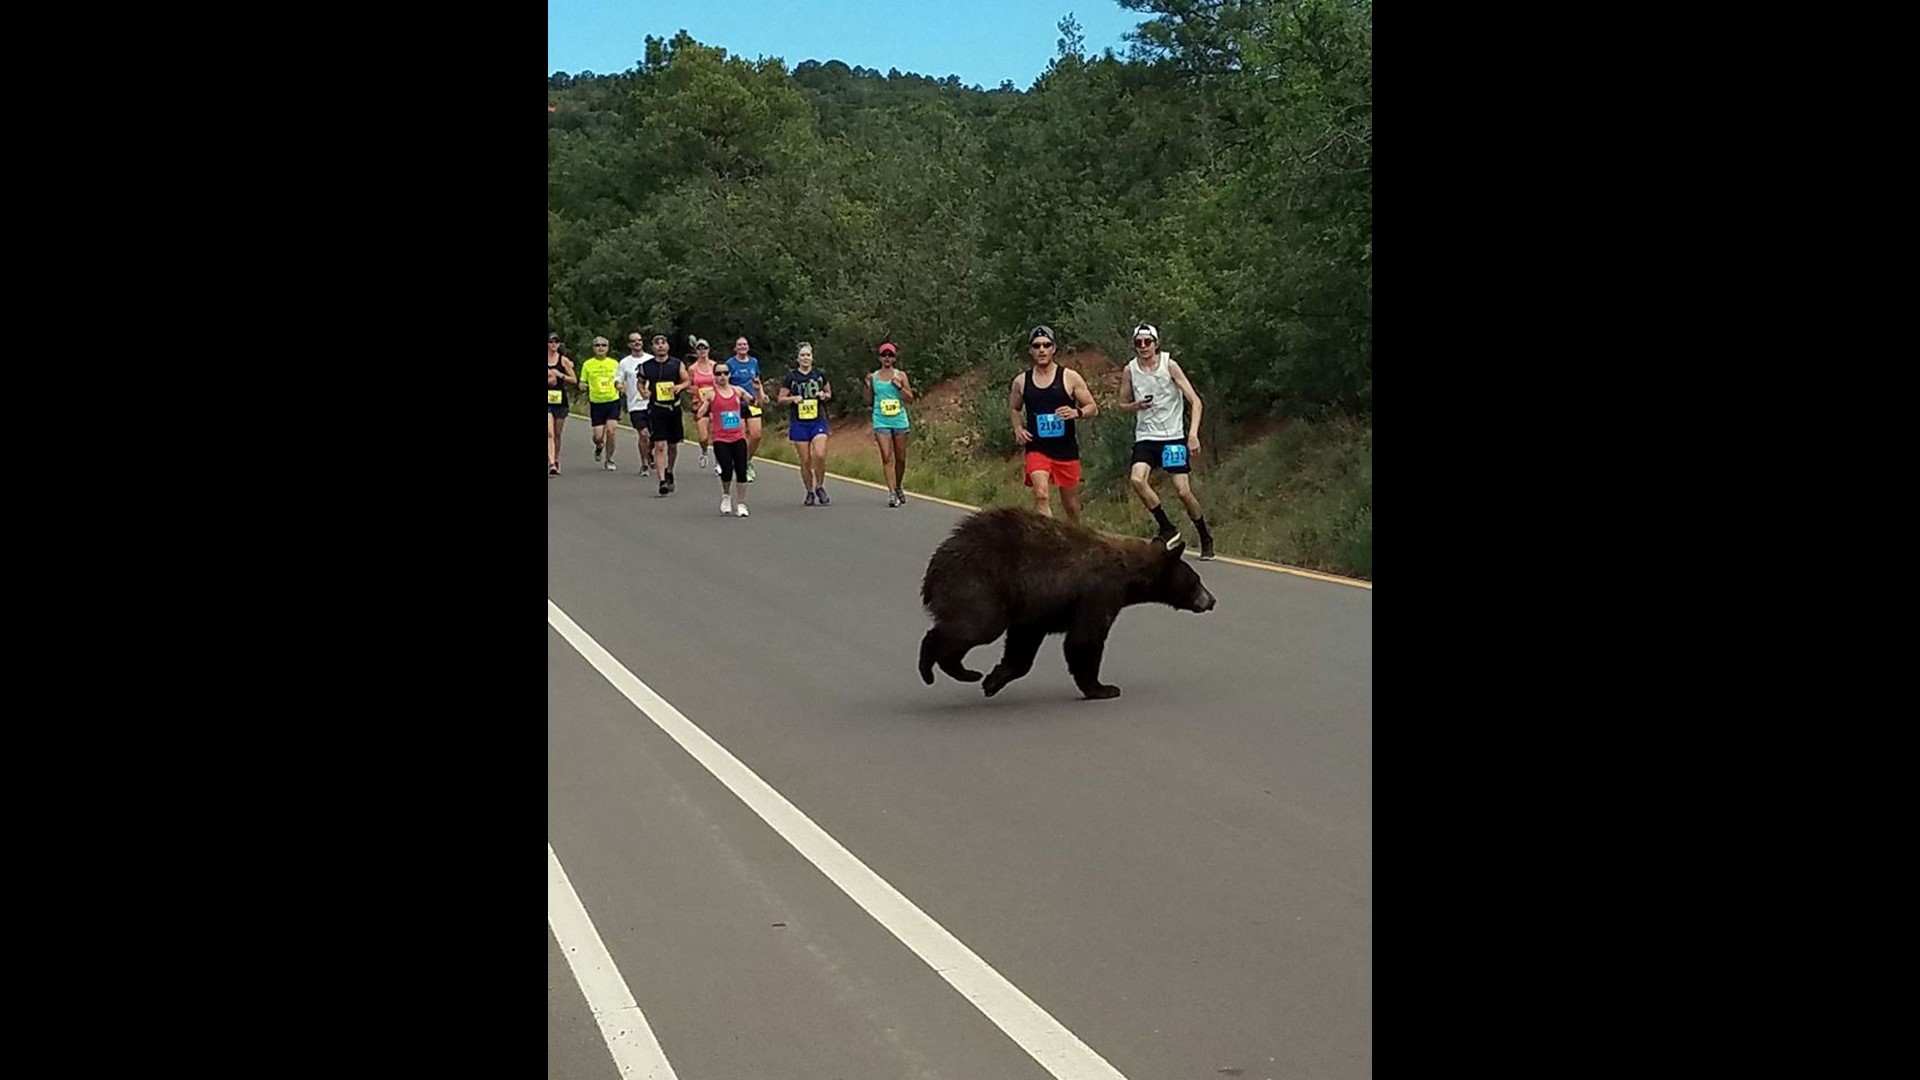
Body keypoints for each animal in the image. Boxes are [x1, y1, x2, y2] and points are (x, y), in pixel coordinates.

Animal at [913, 503, 1213, 699]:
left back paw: (964, 672)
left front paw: (995, 678)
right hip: (977, 584)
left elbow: (1023, 641)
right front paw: (1103, 688)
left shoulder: (1037, 605)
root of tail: (933, 570)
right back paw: (937, 668)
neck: (1131, 574)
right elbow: (1084, 639)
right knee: (976, 626)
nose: (1211, 600)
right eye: (1196, 580)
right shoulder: (1100, 591)